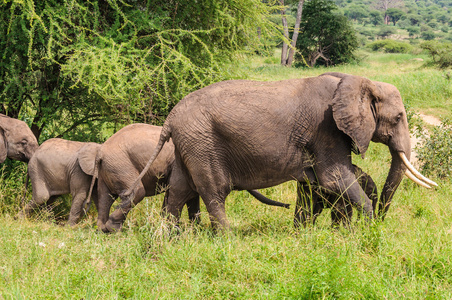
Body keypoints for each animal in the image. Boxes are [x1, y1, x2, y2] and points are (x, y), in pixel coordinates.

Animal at [90, 123, 292, 233]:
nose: (288, 206)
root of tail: (101, 152)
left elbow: (189, 196)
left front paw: (195, 230)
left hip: (110, 167)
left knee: (104, 197)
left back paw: (103, 230)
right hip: (121, 165)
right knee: (135, 192)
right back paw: (113, 230)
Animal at [129, 72, 436, 230]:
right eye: (398, 117)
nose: (382, 224)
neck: (359, 80)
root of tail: (170, 118)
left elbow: (319, 182)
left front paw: (307, 233)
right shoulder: (327, 128)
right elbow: (334, 177)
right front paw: (367, 232)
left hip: (188, 144)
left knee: (178, 190)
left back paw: (169, 239)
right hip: (202, 144)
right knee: (214, 191)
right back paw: (227, 239)